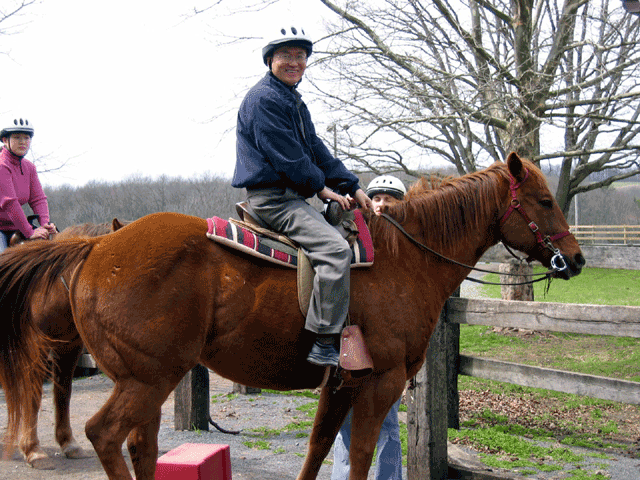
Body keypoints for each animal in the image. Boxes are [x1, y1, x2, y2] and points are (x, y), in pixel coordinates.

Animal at [6, 220, 126, 468]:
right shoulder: (37, 351)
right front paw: (33, 450)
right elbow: (33, 396)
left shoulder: (68, 349)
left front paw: (69, 444)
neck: (50, 289)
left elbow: (63, 394)